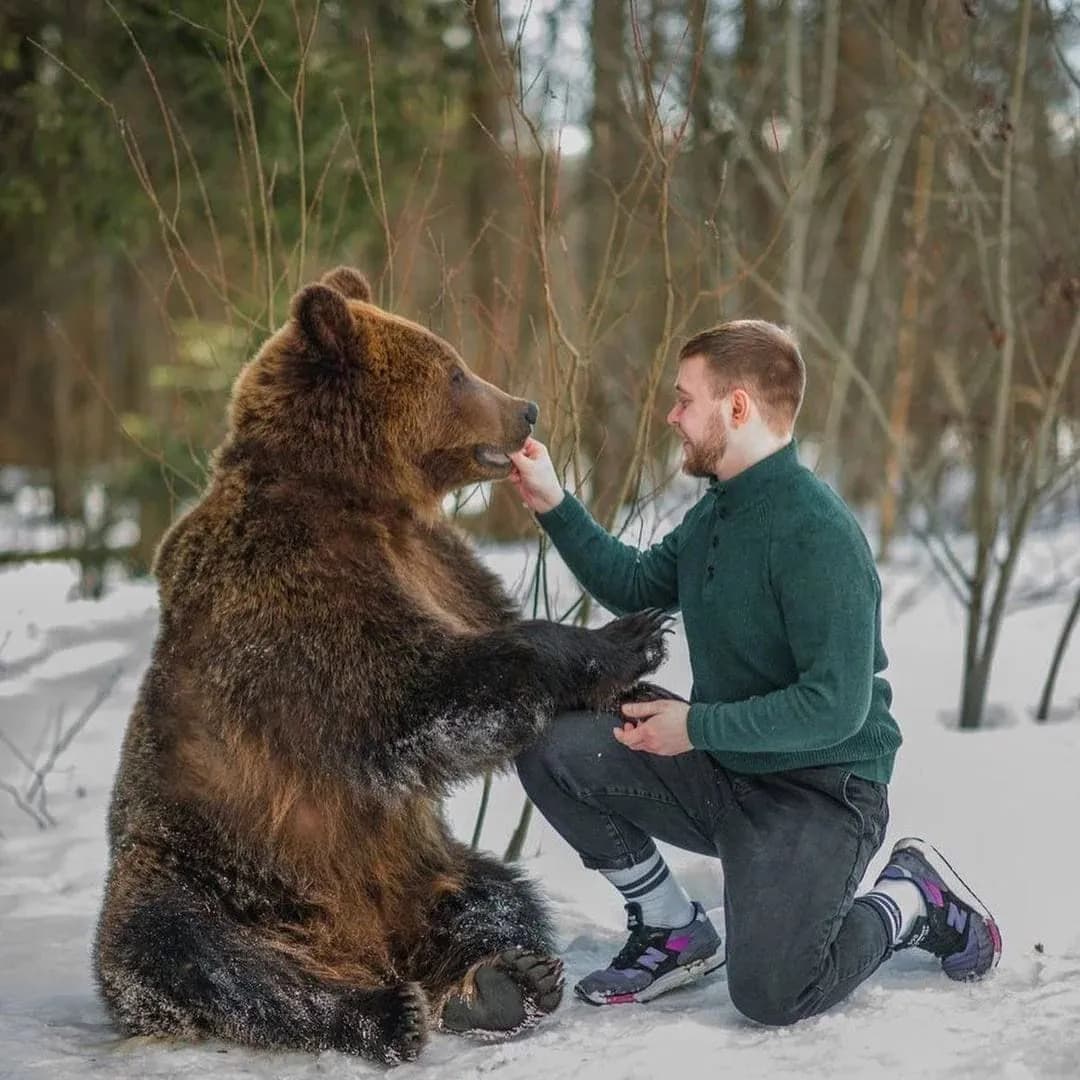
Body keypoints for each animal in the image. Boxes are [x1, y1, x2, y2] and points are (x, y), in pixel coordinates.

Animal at [93, 266, 670, 1065]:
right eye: (454, 370)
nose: (524, 409)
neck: (364, 499)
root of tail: (361, 943)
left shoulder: (439, 565)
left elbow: (481, 635)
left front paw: (638, 688)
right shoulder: (295, 595)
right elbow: (409, 691)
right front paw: (629, 636)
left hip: (418, 867)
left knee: (491, 898)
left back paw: (504, 980)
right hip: (203, 872)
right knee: (205, 959)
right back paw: (380, 1011)